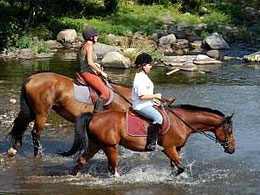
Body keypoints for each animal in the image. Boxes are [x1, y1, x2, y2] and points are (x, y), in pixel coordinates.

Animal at [60, 104, 236, 176]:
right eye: (229, 131)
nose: (232, 149)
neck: (183, 121)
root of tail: (94, 116)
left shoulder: (176, 149)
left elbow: (176, 167)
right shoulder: (169, 148)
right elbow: (180, 167)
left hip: (96, 144)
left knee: (82, 160)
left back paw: (72, 176)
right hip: (110, 146)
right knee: (113, 168)